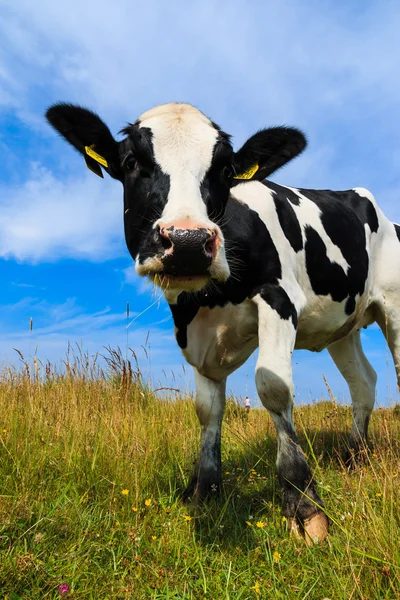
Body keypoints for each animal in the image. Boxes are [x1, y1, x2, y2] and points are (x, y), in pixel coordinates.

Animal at [46, 102, 396, 544]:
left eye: (226, 170)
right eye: (130, 162)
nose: (188, 242)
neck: (211, 299)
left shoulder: (279, 297)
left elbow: (273, 388)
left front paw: (303, 502)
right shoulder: (194, 331)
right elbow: (207, 409)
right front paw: (204, 490)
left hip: (393, 305)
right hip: (342, 327)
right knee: (364, 382)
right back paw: (355, 458)